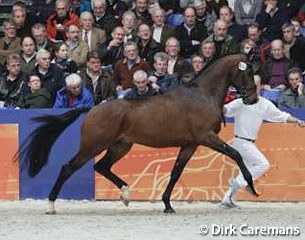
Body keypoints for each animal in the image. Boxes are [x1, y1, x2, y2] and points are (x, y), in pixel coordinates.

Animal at [16, 54, 258, 214]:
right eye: (248, 71)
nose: (253, 99)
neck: (202, 95)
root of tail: (93, 108)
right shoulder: (206, 137)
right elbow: (236, 154)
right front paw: (252, 187)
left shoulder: (190, 144)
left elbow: (175, 173)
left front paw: (167, 205)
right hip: (93, 146)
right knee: (69, 168)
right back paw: (51, 205)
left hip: (120, 146)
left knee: (101, 167)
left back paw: (125, 194)